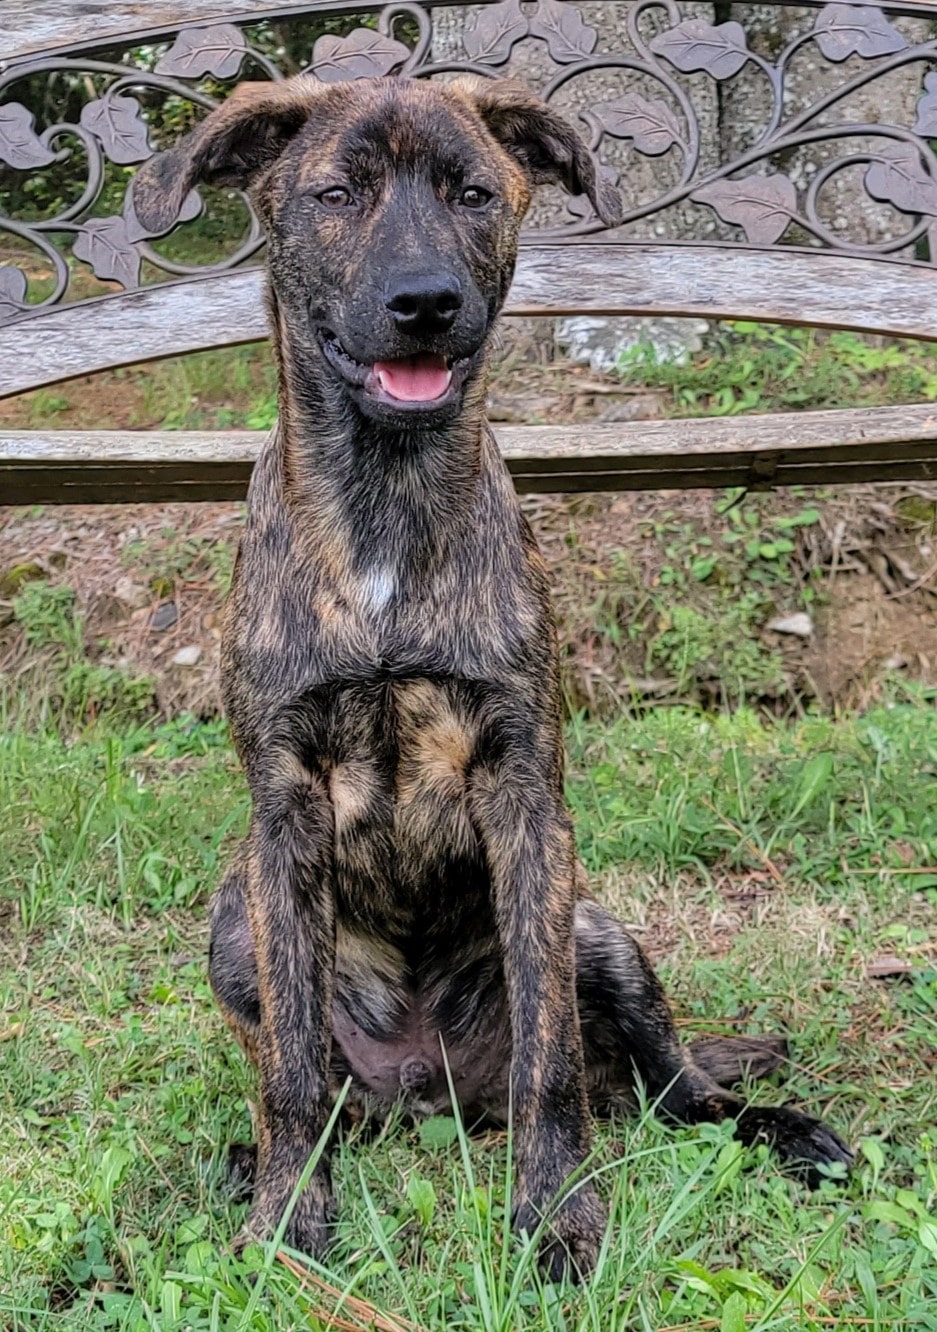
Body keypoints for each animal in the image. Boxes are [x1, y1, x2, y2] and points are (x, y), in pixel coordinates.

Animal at [133, 73, 852, 1279]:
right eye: (336, 195)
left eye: (472, 192)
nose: (424, 302)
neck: (385, 504)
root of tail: (431, 1092)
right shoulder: (282, 810)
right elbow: (289, 1072)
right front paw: (288, 1218)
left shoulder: (525, 795)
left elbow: (547, 1057)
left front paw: (556, 1215)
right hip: (237, 926)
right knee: (326, 1094)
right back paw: (253, 1160)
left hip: (599, 932)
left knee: (669, 1093)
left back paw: (779, 1129)